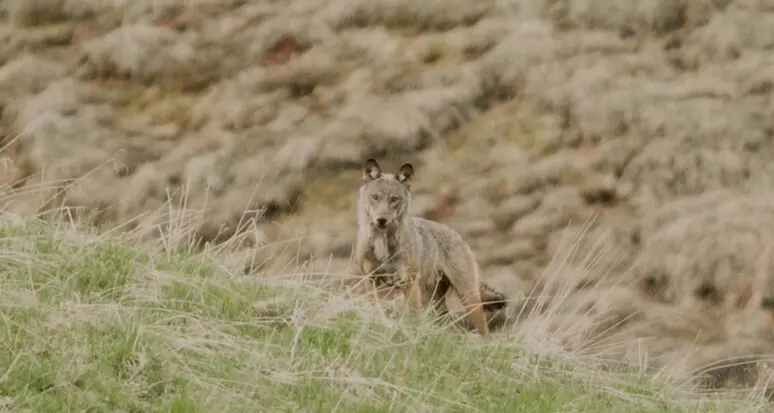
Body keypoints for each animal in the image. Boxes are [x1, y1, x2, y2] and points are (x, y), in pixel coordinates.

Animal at [352, 158, 507, 336]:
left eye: (394, 199)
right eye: (375, 197)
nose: (381, 220)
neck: (382, 246)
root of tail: (459, 236)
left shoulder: (409, 283)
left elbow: (413, 316)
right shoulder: (370, 281)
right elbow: (376, 309)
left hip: (468, 298)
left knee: (483, 329)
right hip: (433, 300)